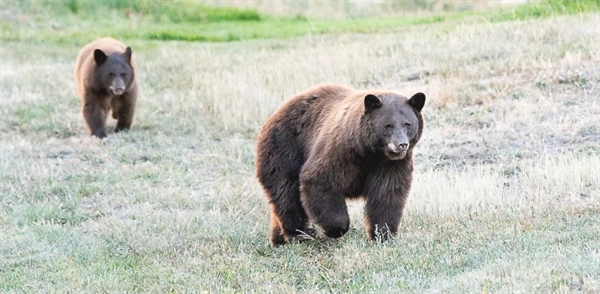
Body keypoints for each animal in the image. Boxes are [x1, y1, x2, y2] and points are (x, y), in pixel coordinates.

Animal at [255, 83, 424, 246]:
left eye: (407, 124)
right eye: (388, 125)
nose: (401, 144)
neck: (368, 152)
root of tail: (273, 116)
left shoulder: (390, 164)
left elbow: (388, 193)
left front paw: (383, 234)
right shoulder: (340, 151)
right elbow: (319, 180)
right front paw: (336, 229)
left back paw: (279, 239)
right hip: (284, 149)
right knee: (287, 193)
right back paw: (299, 234)